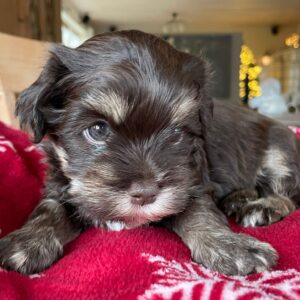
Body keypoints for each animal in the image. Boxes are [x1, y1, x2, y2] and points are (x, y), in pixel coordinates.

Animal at [0, 29, 300, 276]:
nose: (146, 193)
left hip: (281, 148)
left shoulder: (192, 185)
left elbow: (201, 213)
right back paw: (239, 198)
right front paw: (27, 241)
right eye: (97, 130)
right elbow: (48, 210)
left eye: (176, 132)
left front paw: (231, 247)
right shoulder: (61, 188)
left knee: (288, 194)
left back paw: (262, 206)